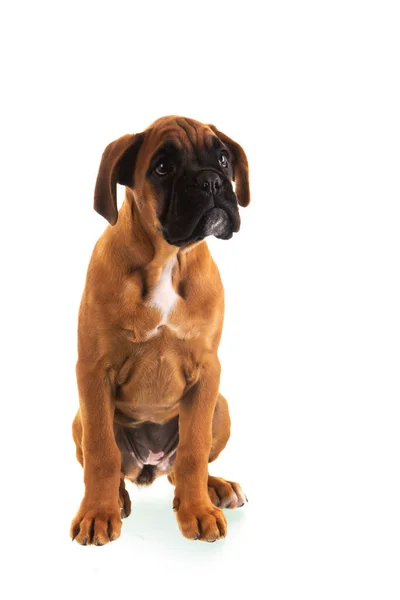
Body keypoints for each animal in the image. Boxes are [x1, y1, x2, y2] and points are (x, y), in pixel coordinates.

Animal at [70, 116, 248, 544]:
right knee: (114, 465)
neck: (167, 259)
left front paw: (197, 509)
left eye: (223, 158)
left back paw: (214, 489)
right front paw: (97, 513)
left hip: (221, 407)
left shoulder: (207, 372)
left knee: (183, 467)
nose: (211, 181)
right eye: (163, 168)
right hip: (79, 418)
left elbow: (194, 452)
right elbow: (101, 454)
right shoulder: (93, 371)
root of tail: (150, 465)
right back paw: (116, 500)